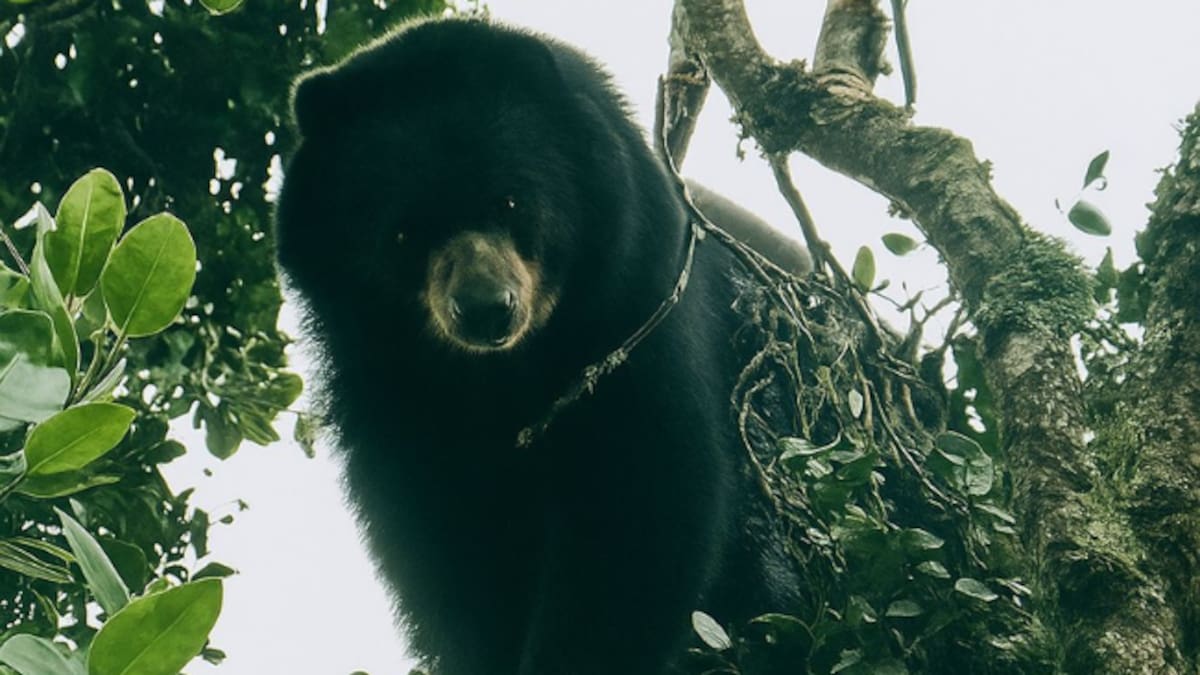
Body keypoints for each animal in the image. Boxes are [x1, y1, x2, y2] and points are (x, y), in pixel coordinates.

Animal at [275, 17, 804, 675]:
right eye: (403, 232)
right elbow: (442, 549)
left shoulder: (639, 320)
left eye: (509, 199)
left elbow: (644, 508)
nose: (484, 308)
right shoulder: (386, 399)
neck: (503, 375)